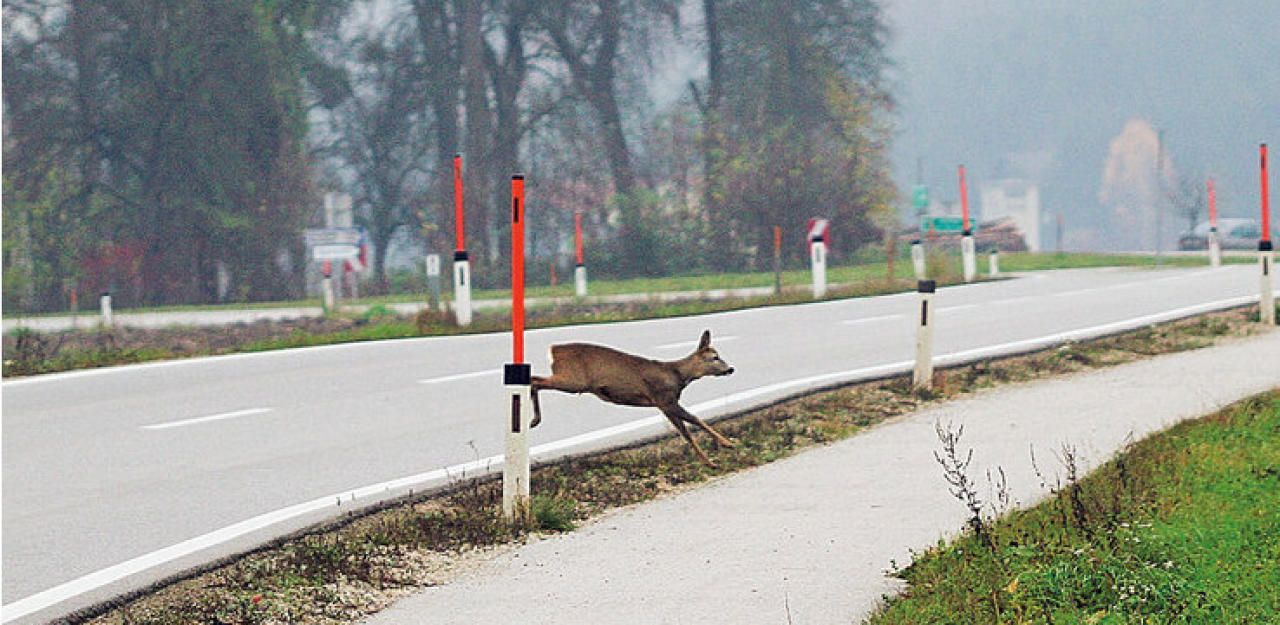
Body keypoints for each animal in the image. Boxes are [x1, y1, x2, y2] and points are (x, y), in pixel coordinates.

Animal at [530, 330, 737, 467]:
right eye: (715, 357)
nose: (730, 369)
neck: (677, 376)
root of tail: (553, 350)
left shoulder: (664, 404)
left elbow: (687, 429)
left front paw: (715, 456)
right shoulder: (665, 400)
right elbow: (692, 423)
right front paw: (724, 447)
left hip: (571, 380)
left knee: (535, 380)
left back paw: (533, 420)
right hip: (573, 380)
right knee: (535, 381)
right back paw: (534, 420)